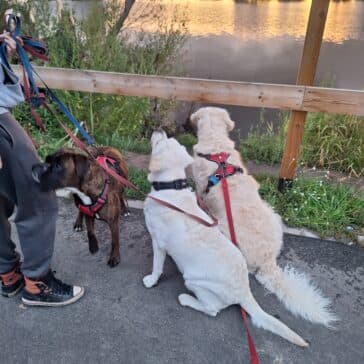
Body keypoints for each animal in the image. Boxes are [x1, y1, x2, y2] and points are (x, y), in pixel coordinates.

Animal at [142, 129, 308, 346]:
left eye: (160, 141)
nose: (160, 130)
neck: (171, 187)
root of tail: (244, 291)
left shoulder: (158, 242)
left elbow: (157, 266)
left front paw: (151, 280)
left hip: (193, 280)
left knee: (212, 309)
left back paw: (187, 300)